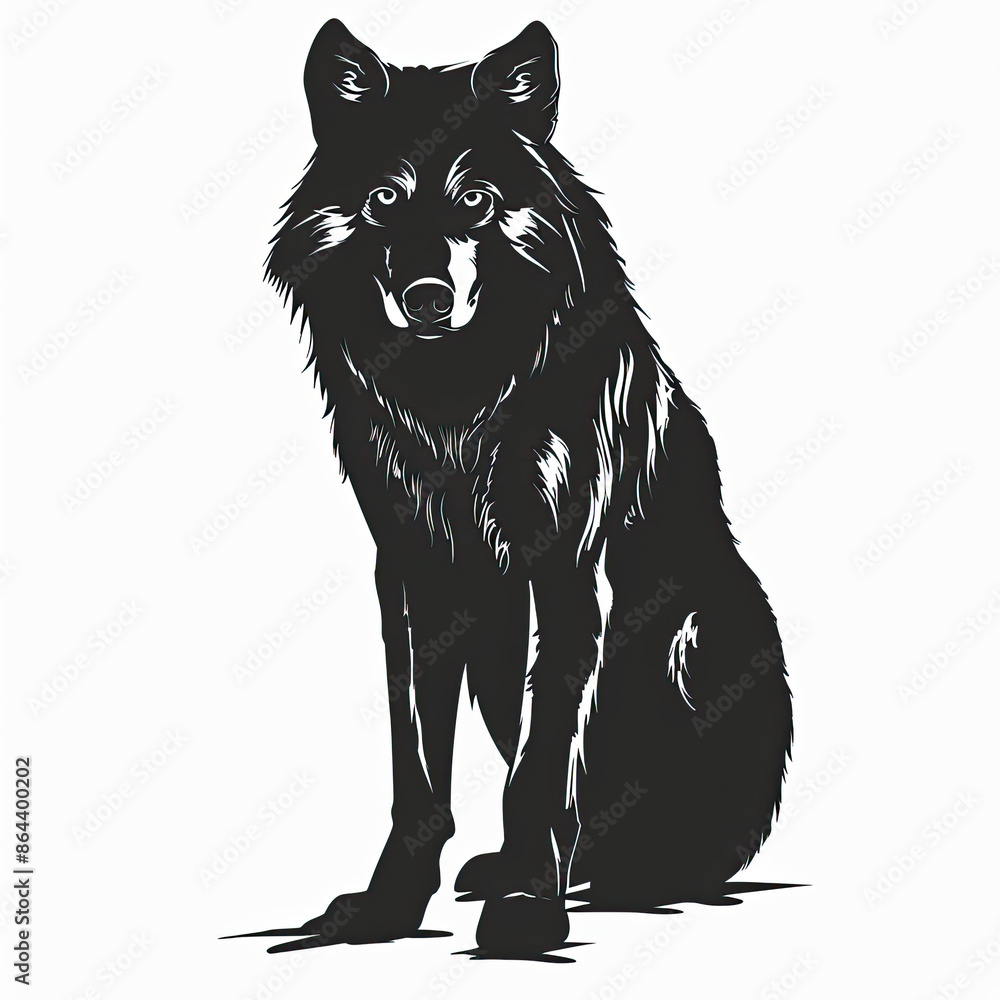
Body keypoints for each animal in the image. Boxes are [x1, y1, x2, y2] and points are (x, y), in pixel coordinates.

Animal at [262, 19, 793, 956]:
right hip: (495, 653)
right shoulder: (411, 570)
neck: (457, 403)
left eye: (475, 200)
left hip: (701, 631)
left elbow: (543, 771)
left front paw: (527, 911)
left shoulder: (568, 567)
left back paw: (635, 876)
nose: (427, 298)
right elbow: (418, 770)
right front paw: (392, 905)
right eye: (384, 199)